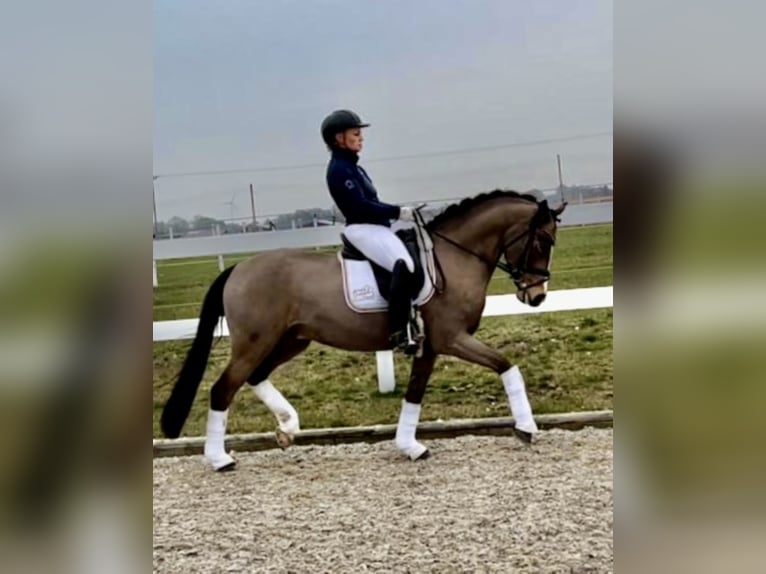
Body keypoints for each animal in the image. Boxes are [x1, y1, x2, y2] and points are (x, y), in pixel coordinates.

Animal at [162, 191, 568, 470]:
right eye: (542, 241)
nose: (537, 296)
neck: (455, 259)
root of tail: (238, 269)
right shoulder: (453, 339)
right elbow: (507, 365)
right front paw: (526, 428)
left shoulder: (430, 346)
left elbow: (414, 395)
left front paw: (410, 446)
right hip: (254, 342)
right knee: (223, 388)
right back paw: (220, 460)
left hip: (292, 340)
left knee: (255, 377)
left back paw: (288, 428)